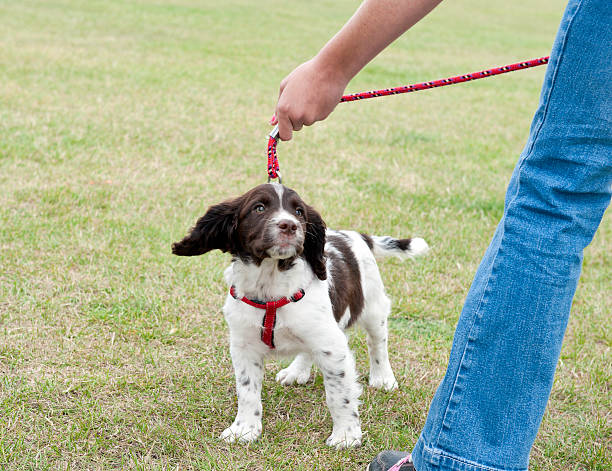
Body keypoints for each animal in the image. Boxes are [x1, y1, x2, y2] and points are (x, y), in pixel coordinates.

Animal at [170, 183, 428, 448]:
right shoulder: (243, 345)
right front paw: (244, 429)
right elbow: (247, 390)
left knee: (377, 342)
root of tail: (356, 235)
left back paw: (383, 377)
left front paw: (346, 435)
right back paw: (297, 372)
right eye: (259, 208)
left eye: (299, 212)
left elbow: (339, 394)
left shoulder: (332, 345)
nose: (290, 225)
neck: (270, 285)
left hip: (372, 306)